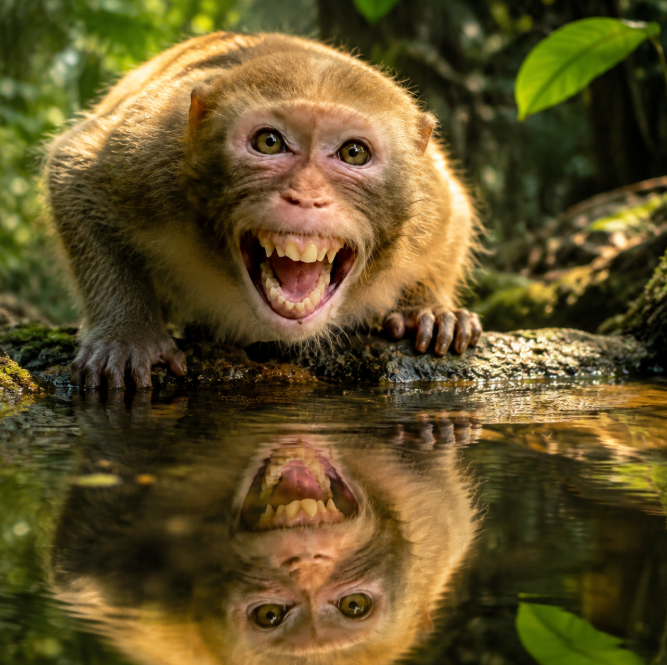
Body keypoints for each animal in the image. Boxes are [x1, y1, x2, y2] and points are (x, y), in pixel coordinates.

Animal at [46, 32, 482, 389]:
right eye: (269, 142)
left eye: (354, 152)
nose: (306, 197)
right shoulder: (151, 152)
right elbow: (74, 173)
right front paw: (126, 332)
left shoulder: (428, 200)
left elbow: (455, 210)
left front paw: (426, 309)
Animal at [49, 396, 478, 665]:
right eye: (270, 615)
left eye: (354, 606)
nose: (307, 561)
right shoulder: (130, 585)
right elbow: (78, 566)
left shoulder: (432, 518)